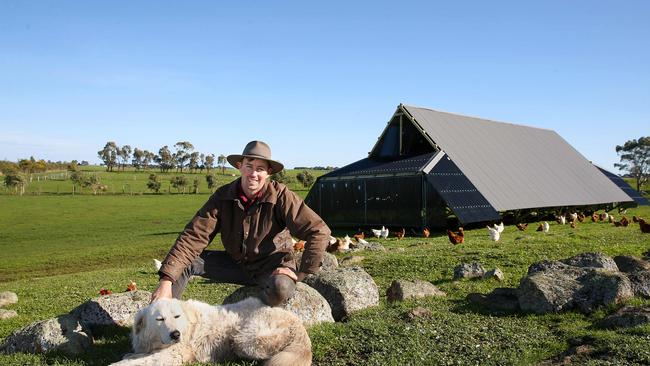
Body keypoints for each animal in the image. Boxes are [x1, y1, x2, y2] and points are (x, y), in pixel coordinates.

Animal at [109, 298, 312, 366]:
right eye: (160, 319)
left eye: (176, 316)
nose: (176, 334)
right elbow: (135, 356)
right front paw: (129, 355)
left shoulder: (174, 355)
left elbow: (137, 362)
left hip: (244, 339)